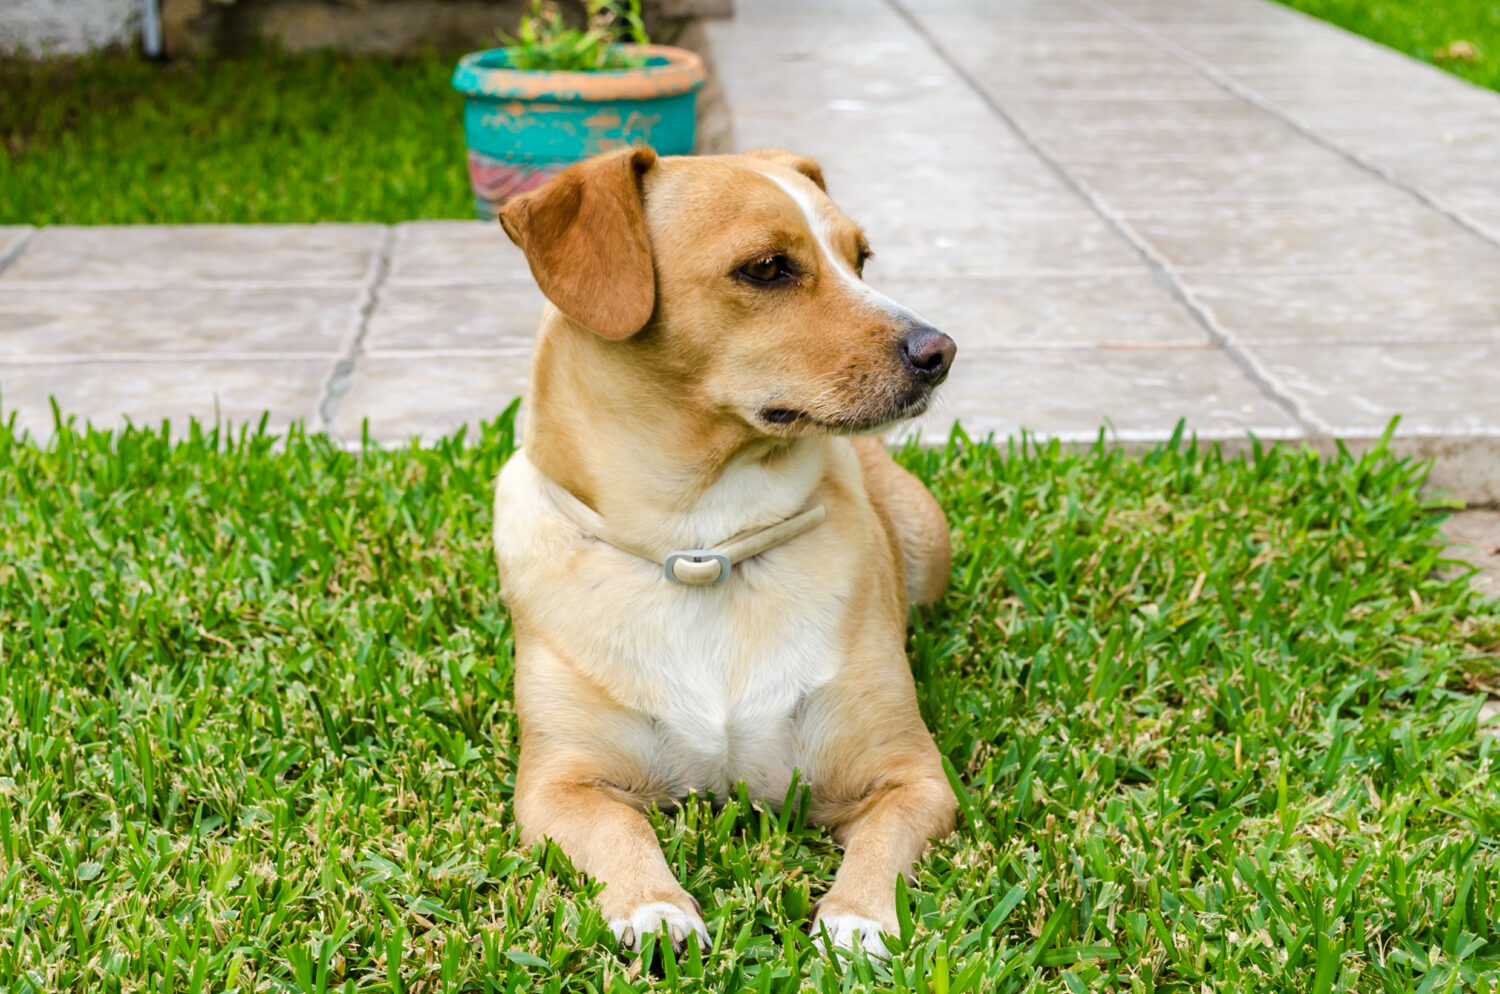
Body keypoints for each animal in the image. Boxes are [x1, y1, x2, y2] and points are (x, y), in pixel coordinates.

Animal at [492, 146, 960, 959]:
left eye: (860, 259)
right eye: (767, 268)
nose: (941, 350)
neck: (704, 545)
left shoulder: (911, 777)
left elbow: (883, 842)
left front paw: (859, 917)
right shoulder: (559, 784)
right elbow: (617, 828)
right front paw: (652, 904)